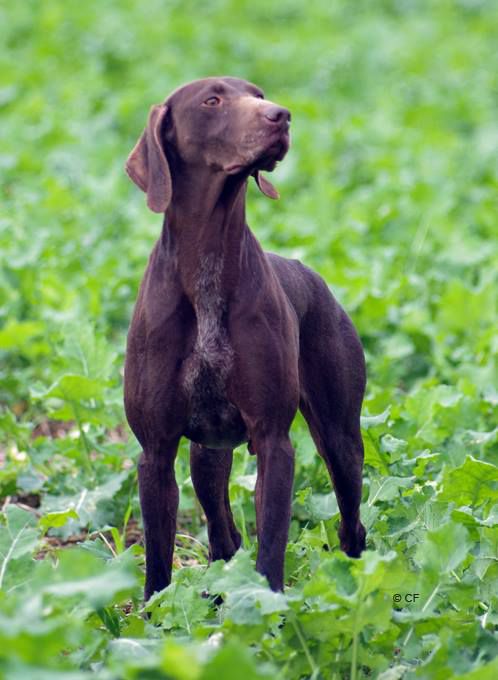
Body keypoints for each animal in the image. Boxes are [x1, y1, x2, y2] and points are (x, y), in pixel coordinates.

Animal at [124, 77, 366, 600]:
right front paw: (155, 613)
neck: (208, 256)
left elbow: (271, 540)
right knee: (223, 534)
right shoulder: (156, 452)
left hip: (341, 440)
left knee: (351, 524)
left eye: (258, 94)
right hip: (207, 456)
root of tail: (309, 273)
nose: (282, 115)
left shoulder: (273, 439)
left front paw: (266, 607)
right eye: (212, 100)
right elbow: (157, 555)